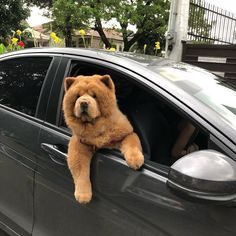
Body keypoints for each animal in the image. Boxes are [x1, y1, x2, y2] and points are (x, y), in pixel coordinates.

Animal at [62, 74, 144, 204]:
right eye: (77, 96)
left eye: (94, 96)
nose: (83, 103)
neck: (95, 126)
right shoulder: (80, 144)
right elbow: (80, 169)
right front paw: (83, 196)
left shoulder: (127, 133)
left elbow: (131, 143)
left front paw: (135, 161)